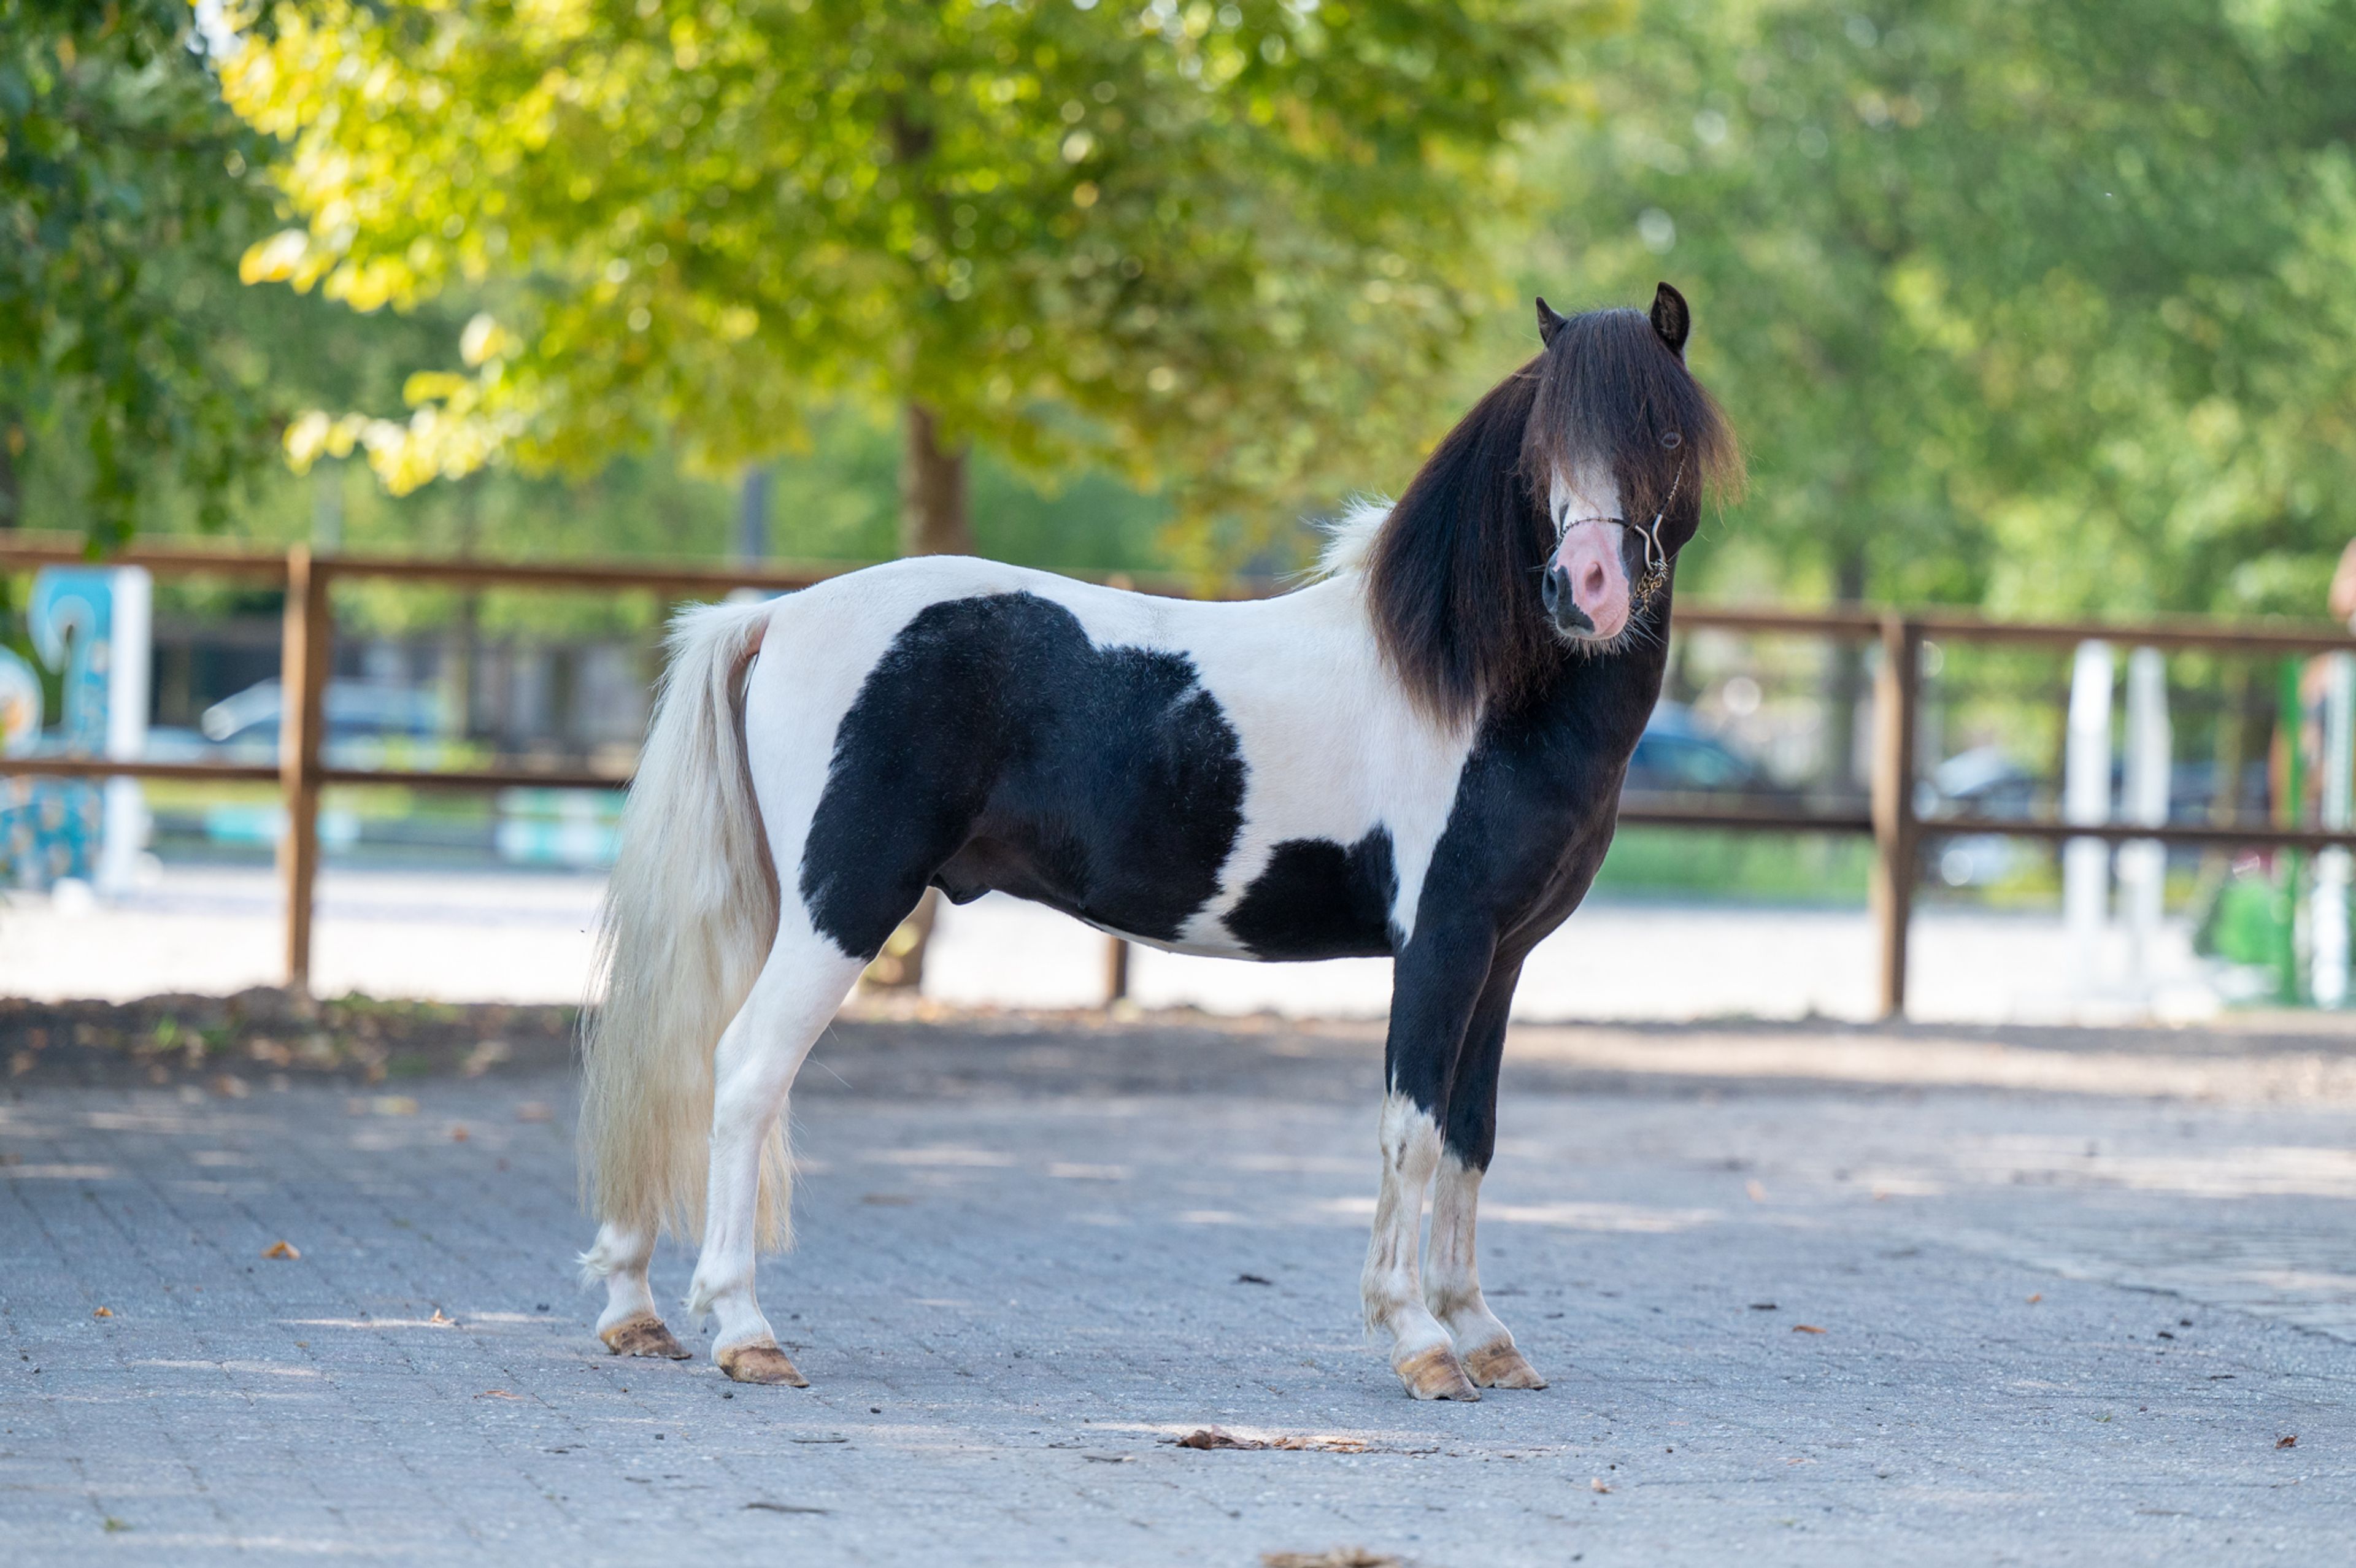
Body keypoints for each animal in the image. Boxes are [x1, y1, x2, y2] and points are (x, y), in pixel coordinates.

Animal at [575, 284, 1738, 1400]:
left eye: (1664, 432)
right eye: (1541, 454)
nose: (1584, 590)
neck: (1474, 682)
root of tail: (776, 616)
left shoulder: (1501, 959)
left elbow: (1470, 1136)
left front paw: (1485, 1336)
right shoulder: (1442, 945)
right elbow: (1409, 1134)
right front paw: (1419, 1341)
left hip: (784, 903)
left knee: (679, 1062)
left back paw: (636, 1310)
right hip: (844, 905)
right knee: (745, 1069)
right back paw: (744, 1332)